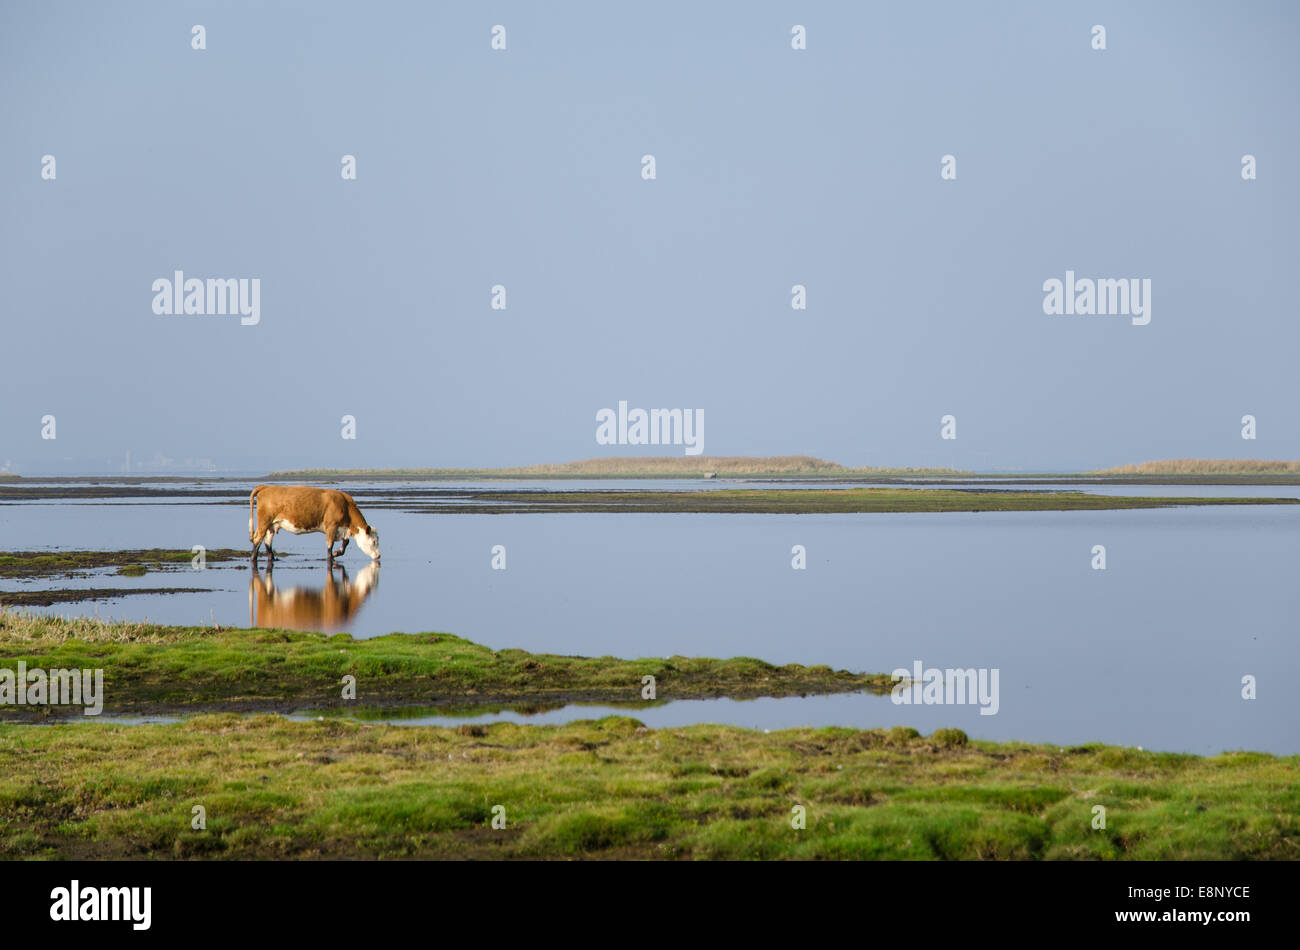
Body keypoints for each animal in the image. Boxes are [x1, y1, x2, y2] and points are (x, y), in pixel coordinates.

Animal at [249, 484, 380, 564]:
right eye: (374, 541)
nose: (379, 556)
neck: (345, 505)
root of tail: (267, 486)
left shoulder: (343, 529)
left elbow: (345, 543)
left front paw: (337, 553)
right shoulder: (331, 526)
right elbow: (330, 546)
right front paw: (331, 558)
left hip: (271, 525)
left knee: (267, 542)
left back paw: (273, 558)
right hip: (264, 522)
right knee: (257, 540)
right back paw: (253, 559)